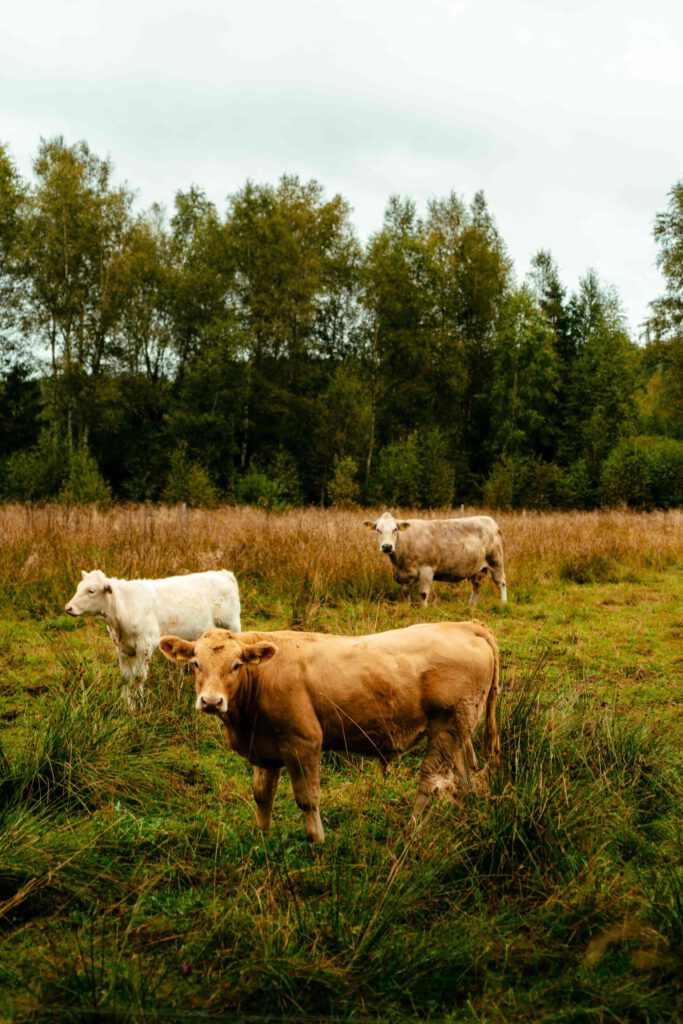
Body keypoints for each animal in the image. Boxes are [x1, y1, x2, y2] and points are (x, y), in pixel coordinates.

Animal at [64, 569, 240, 704]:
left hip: (231, 625)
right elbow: (126, 677)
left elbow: (138, 677)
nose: (68, 608)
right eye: (79, 588)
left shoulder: (145, 645)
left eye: (91, 590)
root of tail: (222, 573)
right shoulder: (122, 648)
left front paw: (138, 705)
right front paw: (125, 703)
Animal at [160, 618, 501, 843]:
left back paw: (409, 831)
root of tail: (463, 625)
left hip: (446, 728)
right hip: (459, 727)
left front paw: (317, 841)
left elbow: (307, 798)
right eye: (195, 663)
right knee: (466, 775)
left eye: (236, 665)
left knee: (429, 782)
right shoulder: (265, 746)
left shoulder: (303, 742)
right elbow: (262, 796)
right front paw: (264, 839)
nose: (211, 701)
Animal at [362, 512, 507, 606]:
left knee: (501, 582)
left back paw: (504, 603)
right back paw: (471, 607)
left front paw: (424, 610)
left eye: (395, 529)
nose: (387, 546)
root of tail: (489, 520)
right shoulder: (404, 575)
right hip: (478, 569)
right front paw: (407, 608)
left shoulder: (427, 569)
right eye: (378, 530)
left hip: (496, 561)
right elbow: (405, 593)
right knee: (476, 586)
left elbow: (423, 593)